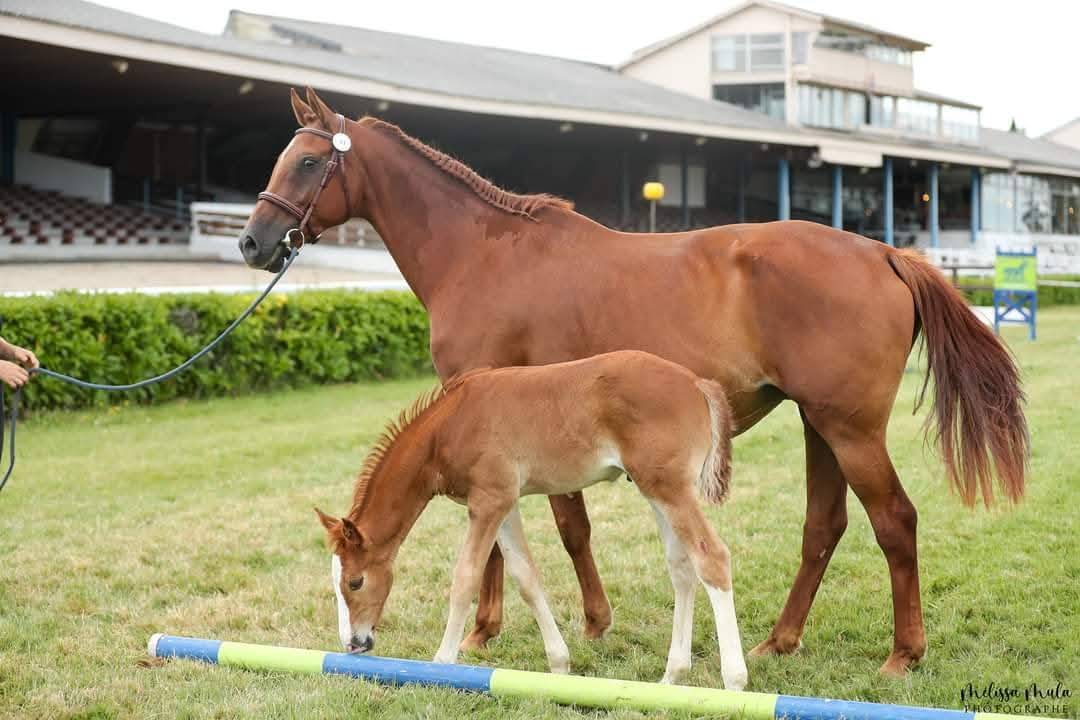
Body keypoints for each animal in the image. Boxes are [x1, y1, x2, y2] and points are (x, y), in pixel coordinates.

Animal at [315, 350, 748, 689]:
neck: (449, 425)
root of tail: (697, 383)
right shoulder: (504, 504)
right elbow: (526, 577)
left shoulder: (489, 501)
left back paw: (734, 681)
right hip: (655, 489)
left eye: (355, 582)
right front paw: (559, 664)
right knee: (682, 567)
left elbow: (465, 577)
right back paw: (673, 675)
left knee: (712, 557)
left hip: (668, 488)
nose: (353, 643)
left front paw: (441, 665)